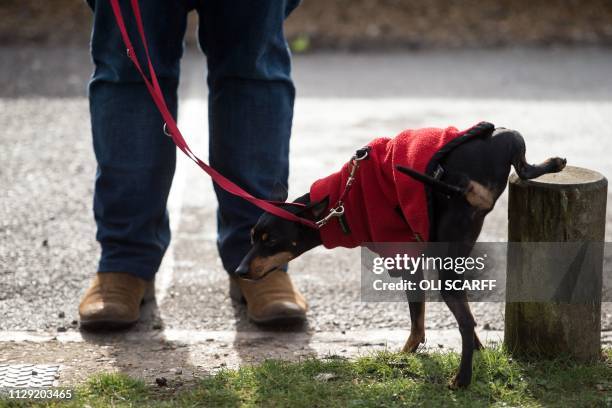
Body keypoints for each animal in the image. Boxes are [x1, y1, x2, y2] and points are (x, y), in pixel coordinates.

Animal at [233, 122, 564, 388]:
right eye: (252, 238)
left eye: (271, 242)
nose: (239, 271)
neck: (340, 203)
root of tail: (464, 182)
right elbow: (426, 321)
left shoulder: (406, 259)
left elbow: (417, 323)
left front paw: (404, 354)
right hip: (507, 143)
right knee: (524, 168)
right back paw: (555, 161)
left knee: (466, 322)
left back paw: (462, 379)